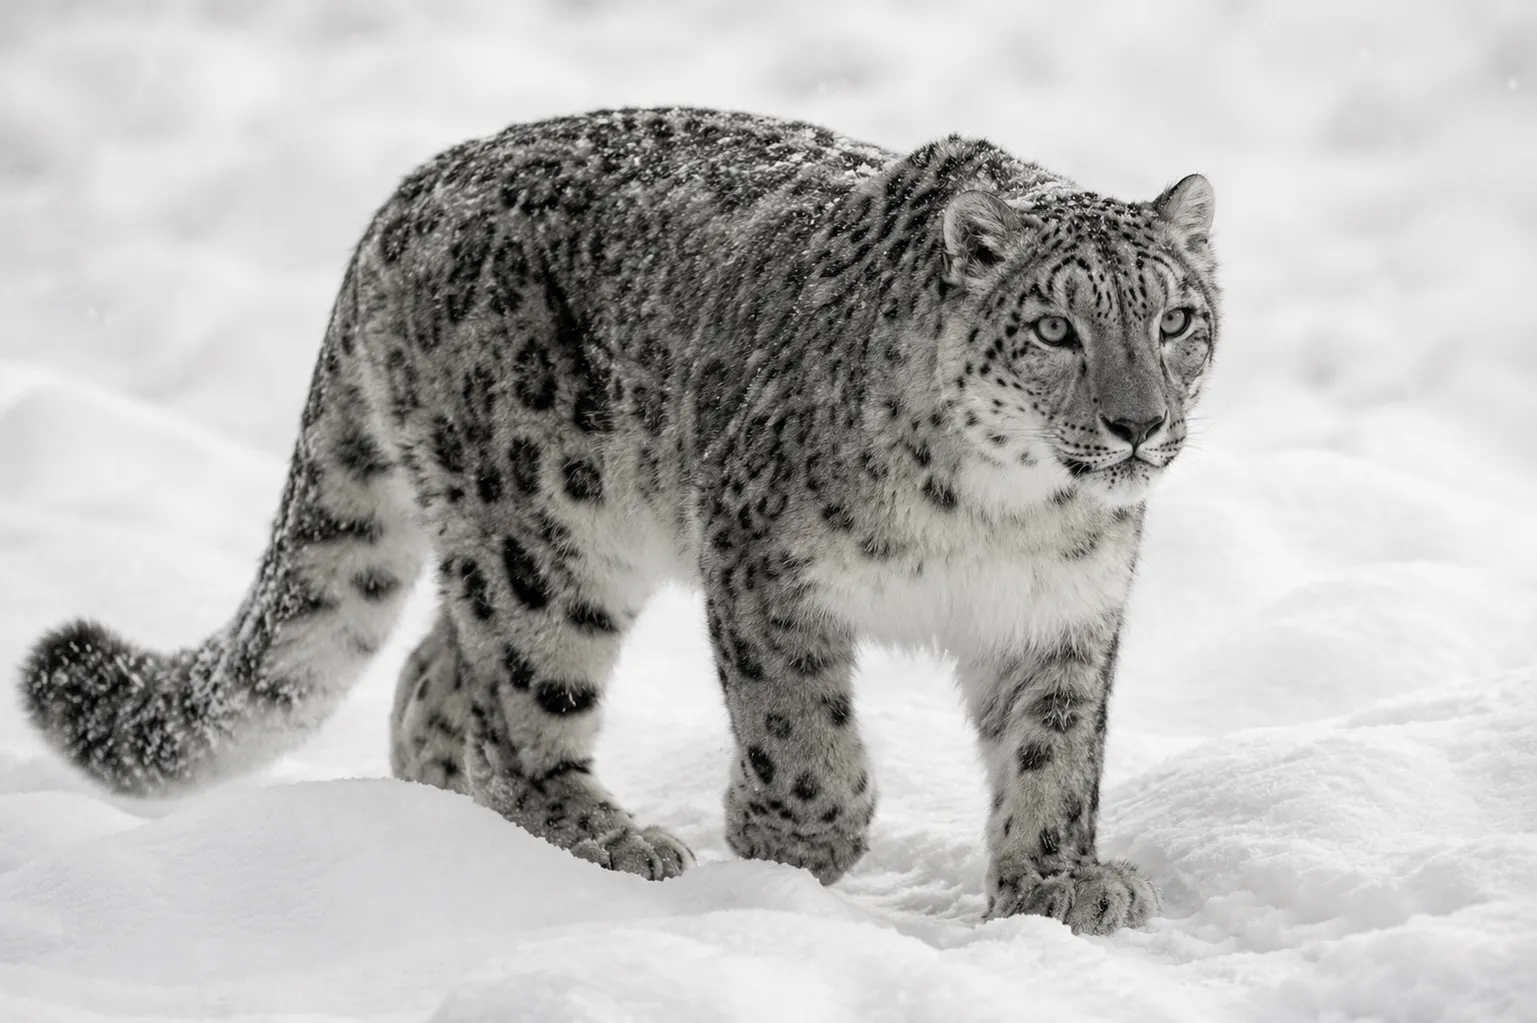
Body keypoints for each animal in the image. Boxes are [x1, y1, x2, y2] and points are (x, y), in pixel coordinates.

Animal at [17, 107, 1218, 935]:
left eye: (1175, 320)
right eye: (1054, 327)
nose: (1135, 423)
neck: (1006, 516)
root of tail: (405, 196)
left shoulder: (1062, 614)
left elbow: (1056, 752)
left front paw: (1057, 885)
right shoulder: (765, 565)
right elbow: (800, 729)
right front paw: (795, 839)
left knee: (434, 674)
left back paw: (442, 822)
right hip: (545, 543)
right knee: (518, 699)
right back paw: (603, 837)